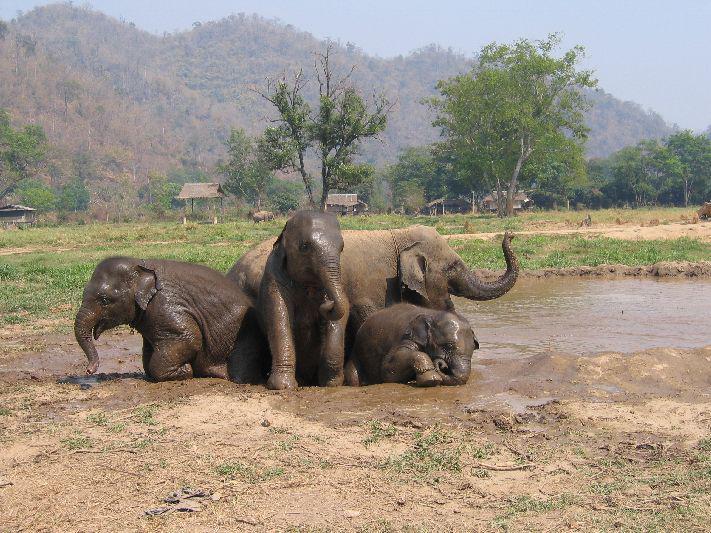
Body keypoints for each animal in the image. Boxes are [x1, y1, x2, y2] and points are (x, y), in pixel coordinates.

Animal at [74, 257, 268, 382]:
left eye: (104, 300)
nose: (89, 370)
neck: (141, 264)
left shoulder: (165, 304)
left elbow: (189, 338)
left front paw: (186, 371)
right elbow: (148, 353)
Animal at [257, 211, 348, 390]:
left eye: (341, 248)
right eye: (305, 247)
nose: (326, 304)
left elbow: (344, 309)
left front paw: (331, 384)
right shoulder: (273, 278)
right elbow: (279, 318)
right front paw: (283, 386)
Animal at [344, 303, 478, 386]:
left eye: (473, 349)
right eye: (448, 346)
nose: (442, 364)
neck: (432, 314)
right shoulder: (406, 337)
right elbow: (387, 370)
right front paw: (431, 379)